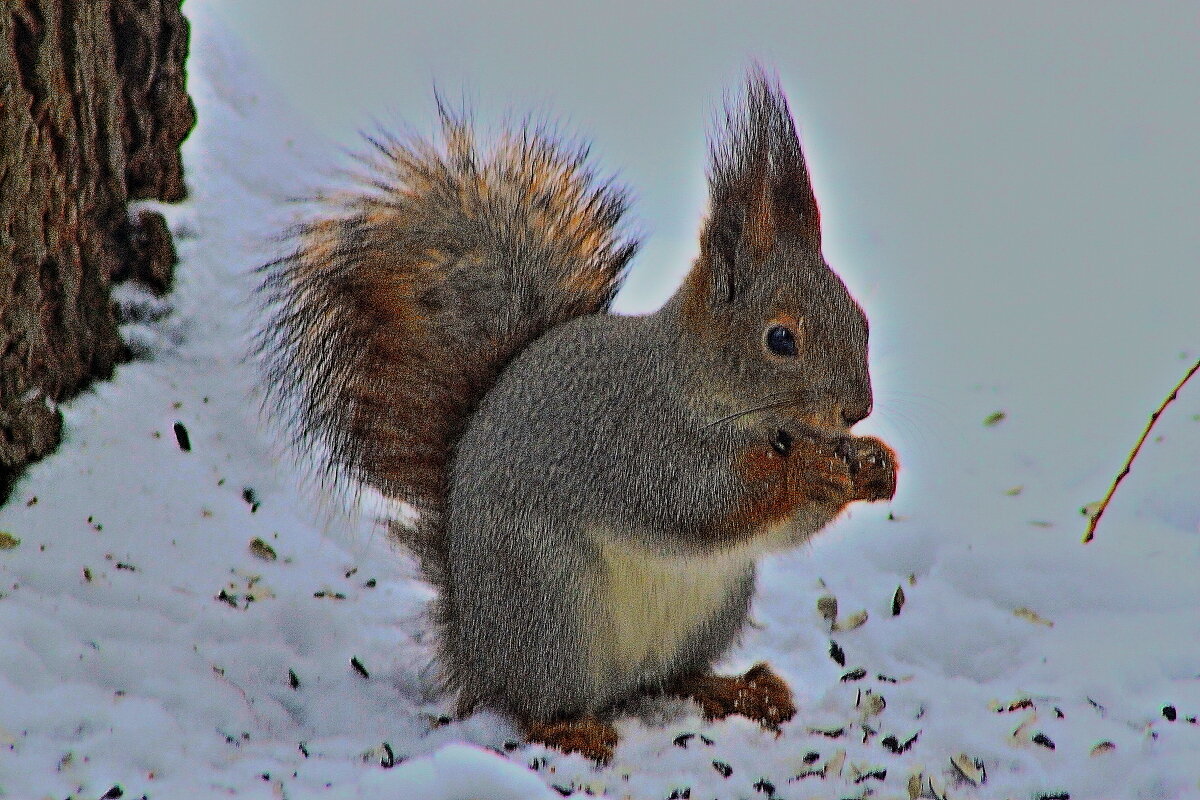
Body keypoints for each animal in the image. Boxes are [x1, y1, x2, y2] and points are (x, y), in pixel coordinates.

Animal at [262, 73, 902, 762]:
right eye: (780, 340)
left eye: (862, 321)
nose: (858, 409)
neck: (715, 394)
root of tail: (475, 653)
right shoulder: (631, 436)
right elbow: (701, 500)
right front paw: (811, 470)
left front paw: (875, 466)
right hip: (550, 606)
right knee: (531, 704)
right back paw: (569, 727)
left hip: (713, 608)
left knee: (671, 678)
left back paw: (738, 691)